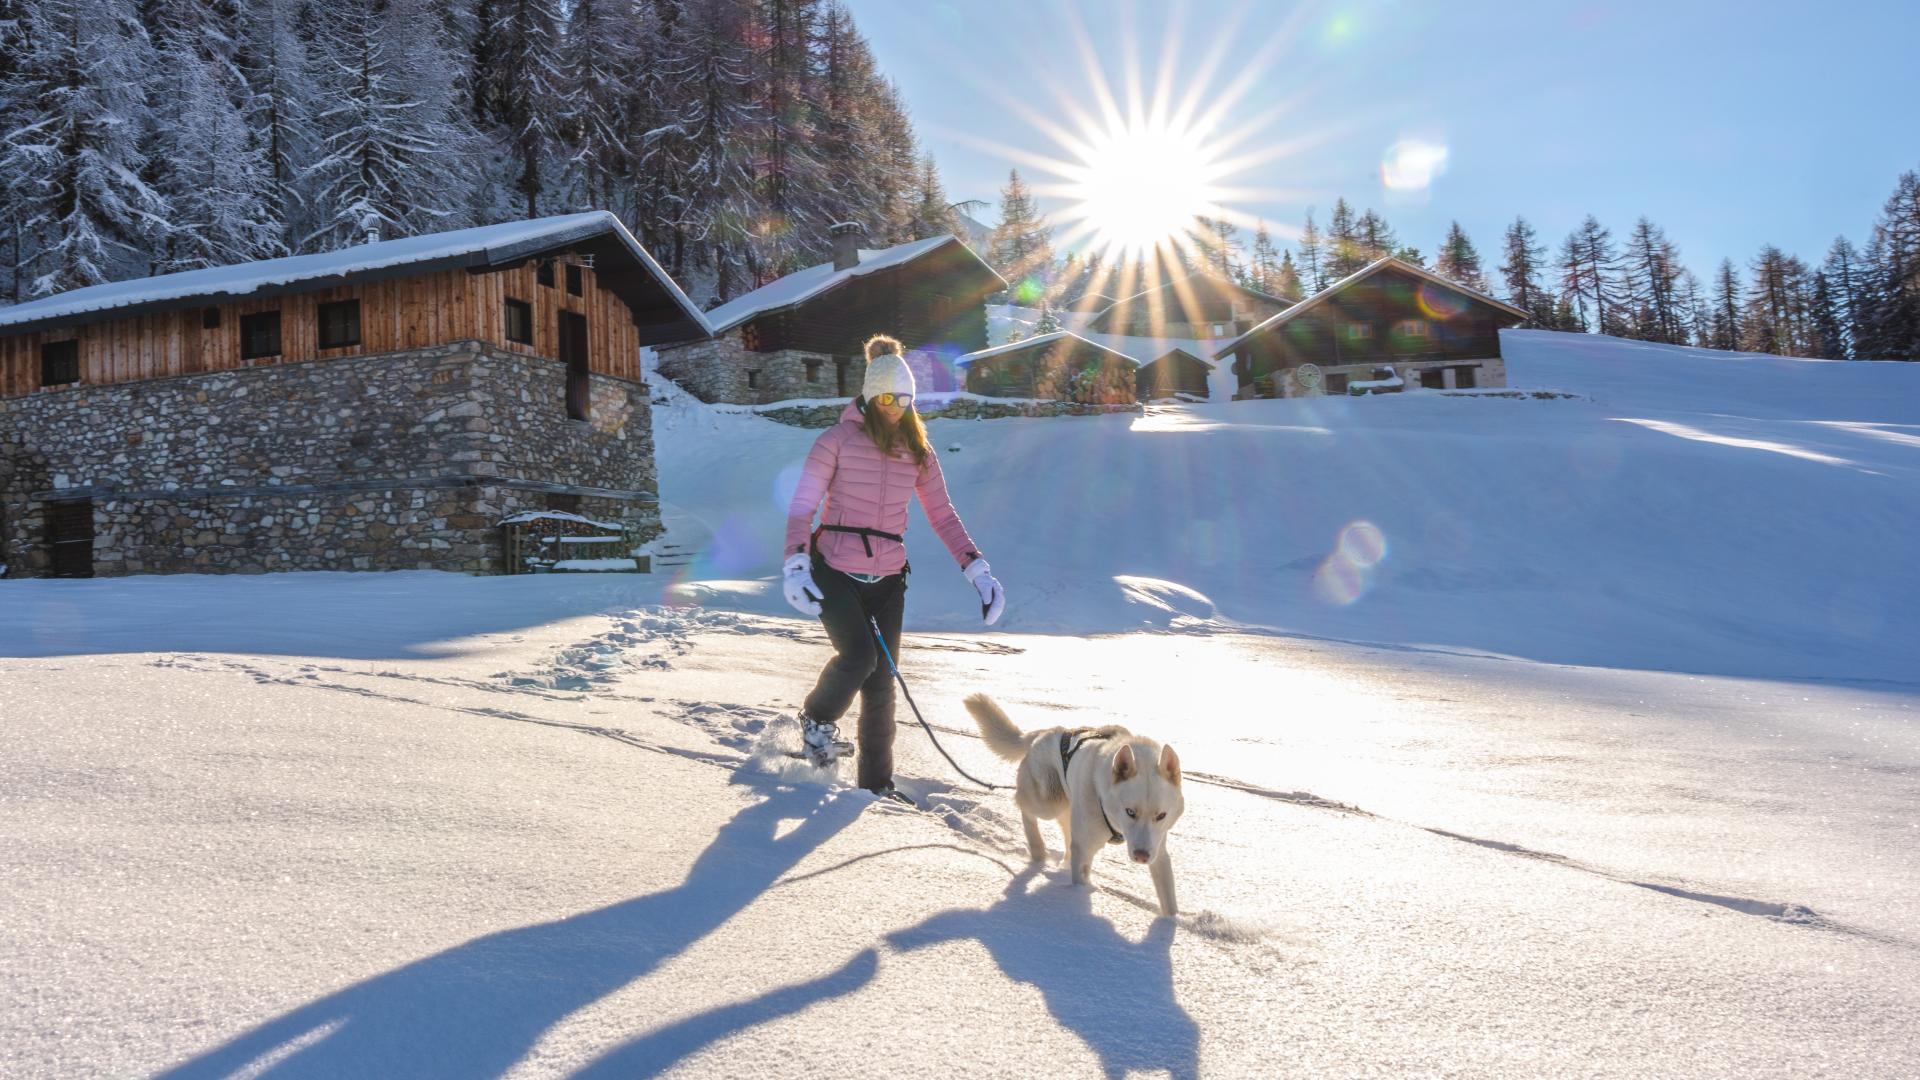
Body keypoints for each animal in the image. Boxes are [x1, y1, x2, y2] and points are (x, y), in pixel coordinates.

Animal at [960, 691, 1182, 910]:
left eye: (1161, 816)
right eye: (1130, 812)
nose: (1141, 856)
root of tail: (1043, 733)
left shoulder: (1158, 851)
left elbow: (1169, 901)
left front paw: (1168, 921)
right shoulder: (1084, 849)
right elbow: (1080, 879)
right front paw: (1077, 898)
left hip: (1068, 809)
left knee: (1067, 837)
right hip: (1049, 802)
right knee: (1024, 806)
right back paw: (1037, 849)